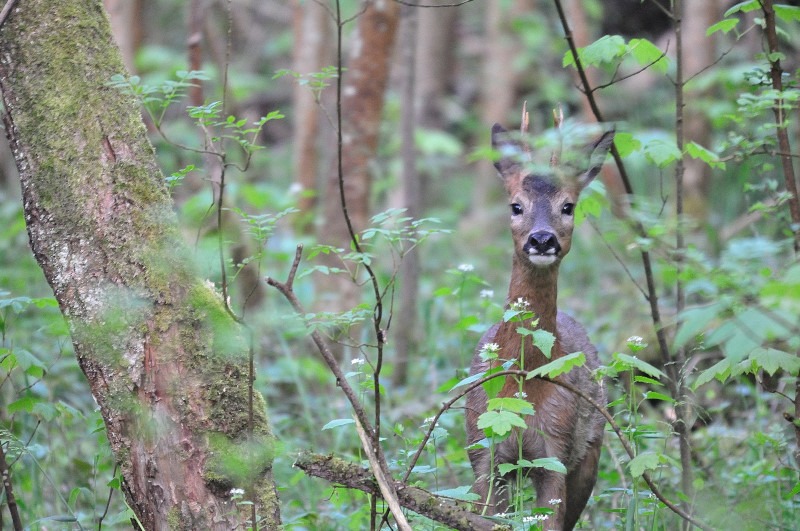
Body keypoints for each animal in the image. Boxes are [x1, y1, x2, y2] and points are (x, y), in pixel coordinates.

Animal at [462, 113, 612, 531]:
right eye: (516, 206)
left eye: (569, 206)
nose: (542, 239)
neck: (524, 381)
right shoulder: (484, 454)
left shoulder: (555, 452)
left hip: (590, 448)